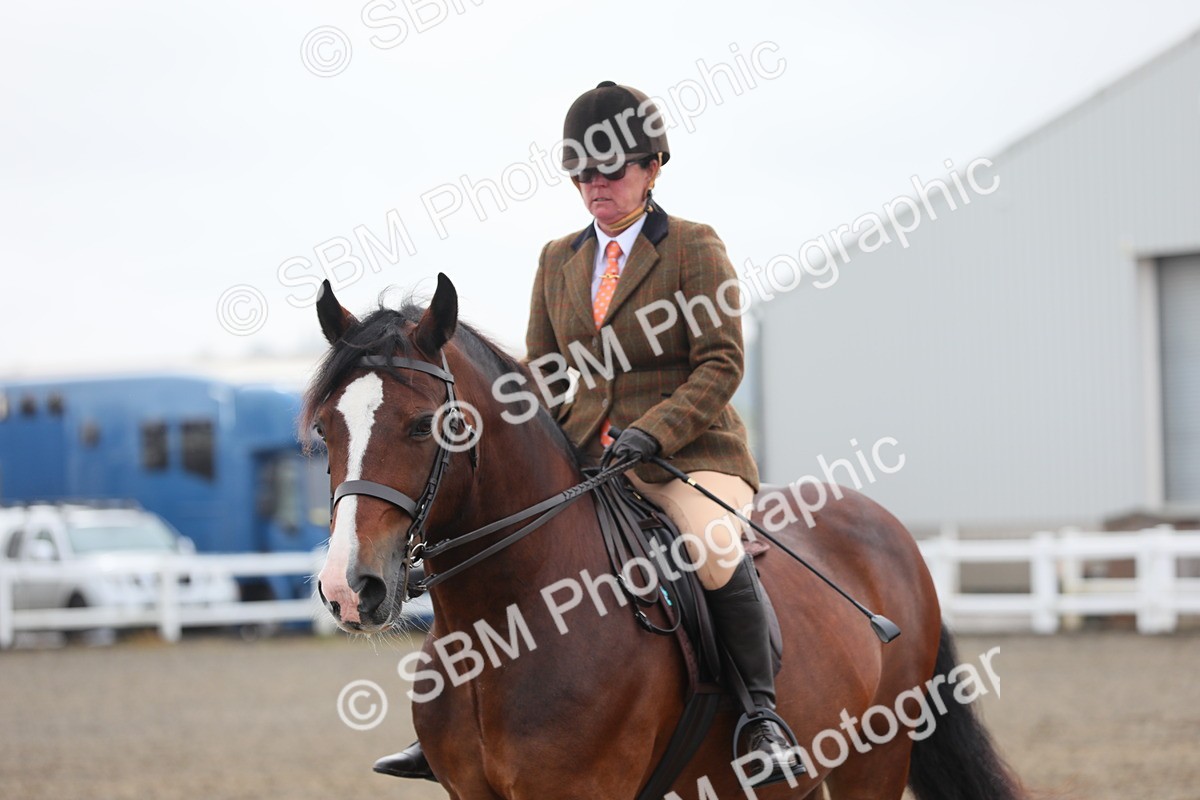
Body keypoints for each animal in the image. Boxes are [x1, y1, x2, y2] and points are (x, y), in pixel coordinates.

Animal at [307, 274, 1025, 800]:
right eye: (324, 428)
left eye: (423, 425)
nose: (349, 588)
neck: (505, 624)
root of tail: (887, 528)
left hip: (877, 754)